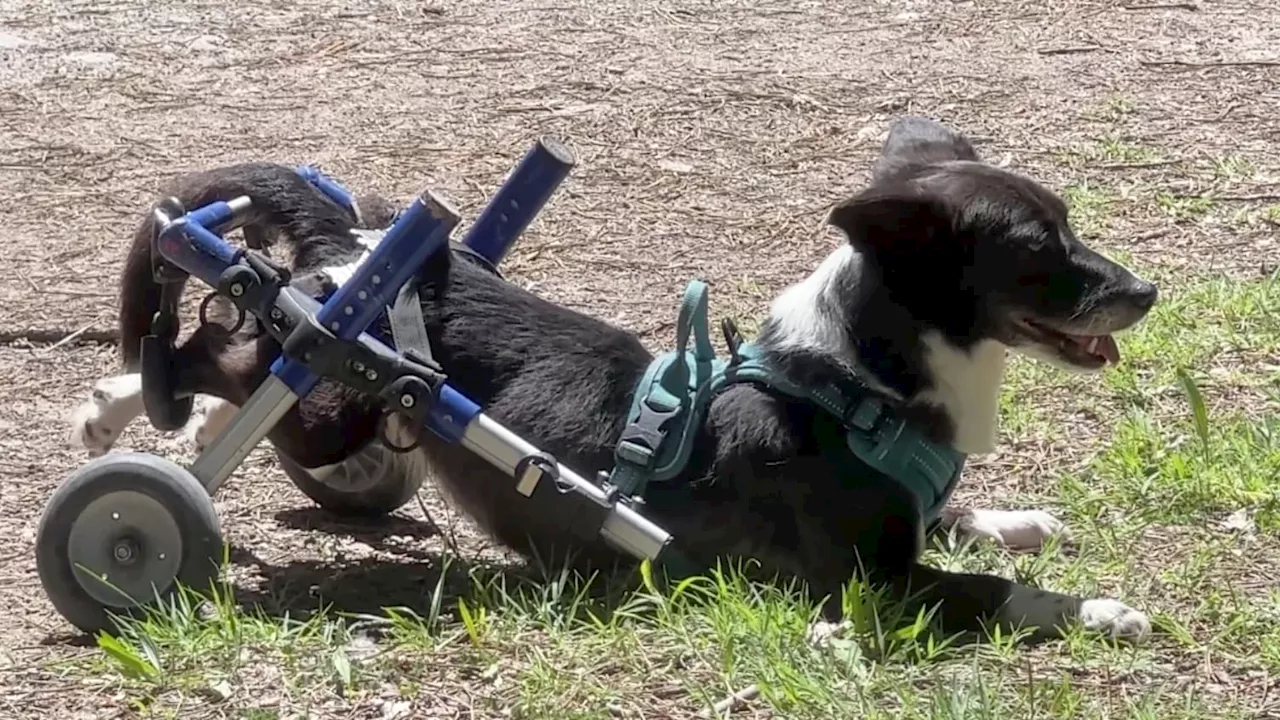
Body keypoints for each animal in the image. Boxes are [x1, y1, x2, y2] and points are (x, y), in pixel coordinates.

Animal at [70, 117, 1162, 638]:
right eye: (1038, 249)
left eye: (1070, 226)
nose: (1147, 290)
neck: (851, 384)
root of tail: (359, 243)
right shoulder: (867, 584)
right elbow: (994, 591)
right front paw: (1096, 610)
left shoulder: (907, 523)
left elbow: (962, 519)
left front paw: (1018, 519)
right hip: (328, 393)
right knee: (217, 345)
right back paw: (133, 404)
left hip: (342, 403)